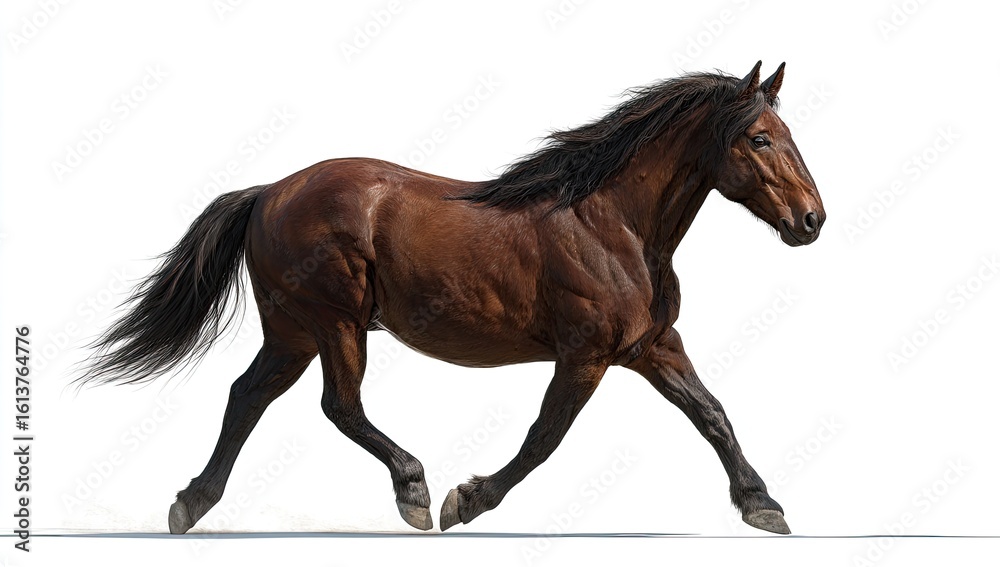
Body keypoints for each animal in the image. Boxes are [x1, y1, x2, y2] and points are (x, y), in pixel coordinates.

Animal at [80, 61, 825, 535]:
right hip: (336, 322)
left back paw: (189, 505)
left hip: (293, 331)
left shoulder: (652, 347)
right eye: (760, 138)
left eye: (788, 136)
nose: (812, 220)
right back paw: (412, 489)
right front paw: (463, 502)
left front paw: (763, 505)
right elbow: (544, 437)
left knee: (247, 395)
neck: (611, 224)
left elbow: (713, 415)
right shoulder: (585, 355)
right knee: (337, 405)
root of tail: (268, 192)